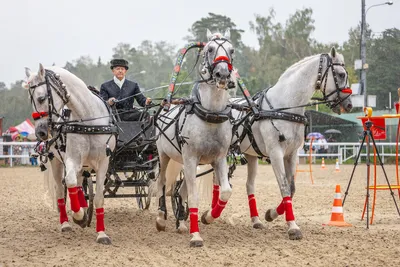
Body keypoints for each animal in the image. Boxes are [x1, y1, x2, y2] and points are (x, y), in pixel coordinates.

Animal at [24, 65, 115, 245]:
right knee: (61, 190)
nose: (40, 132)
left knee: (80, 184)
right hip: (56, 161)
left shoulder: (103, 162)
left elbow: (99, 197)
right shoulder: (72, 158)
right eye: (31, 100)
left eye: (41, 98)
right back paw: (66, 222)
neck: (88, 120)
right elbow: (70, 182)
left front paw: (101, 234)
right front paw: (78, 215)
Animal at [154, 30, 236, 248]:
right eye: (210, 49)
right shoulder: (191, 157)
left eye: (232, 49)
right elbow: (193, 197)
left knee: (179, 190)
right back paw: (160, 218)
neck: (210, 115)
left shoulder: (219, 159)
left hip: (184, 162)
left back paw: (182, 223)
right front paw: (196, 236)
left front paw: (208, 216)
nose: (223, 74)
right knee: (162, 183)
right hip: (165, 155)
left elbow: (225, 192)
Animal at [231, 47, 354, 241]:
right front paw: (293, 228)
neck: (285, 107)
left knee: (249, 185)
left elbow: (292, 188)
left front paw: (271, 214)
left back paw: (256, 220)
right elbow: (284, 187)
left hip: (251, 156)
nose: (349, 104)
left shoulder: (291, 154)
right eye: (341, 74)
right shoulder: (275, 153)